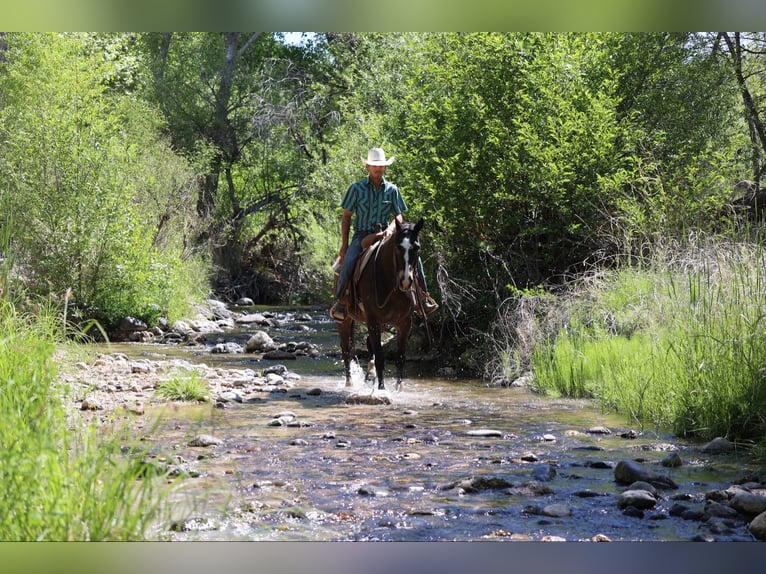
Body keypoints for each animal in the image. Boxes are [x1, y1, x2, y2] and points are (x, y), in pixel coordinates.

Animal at [337, 218, 424, 391]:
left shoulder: (405, 322)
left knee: (368, 345)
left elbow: (400, 357)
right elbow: (380, 358)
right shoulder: (373, 320)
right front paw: (382, 389)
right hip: (345, 320)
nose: (405, 281)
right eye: (398, 247)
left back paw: (369, 376)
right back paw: (350, 383)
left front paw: (399, 387)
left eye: (417, 247)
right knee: (346, 350)